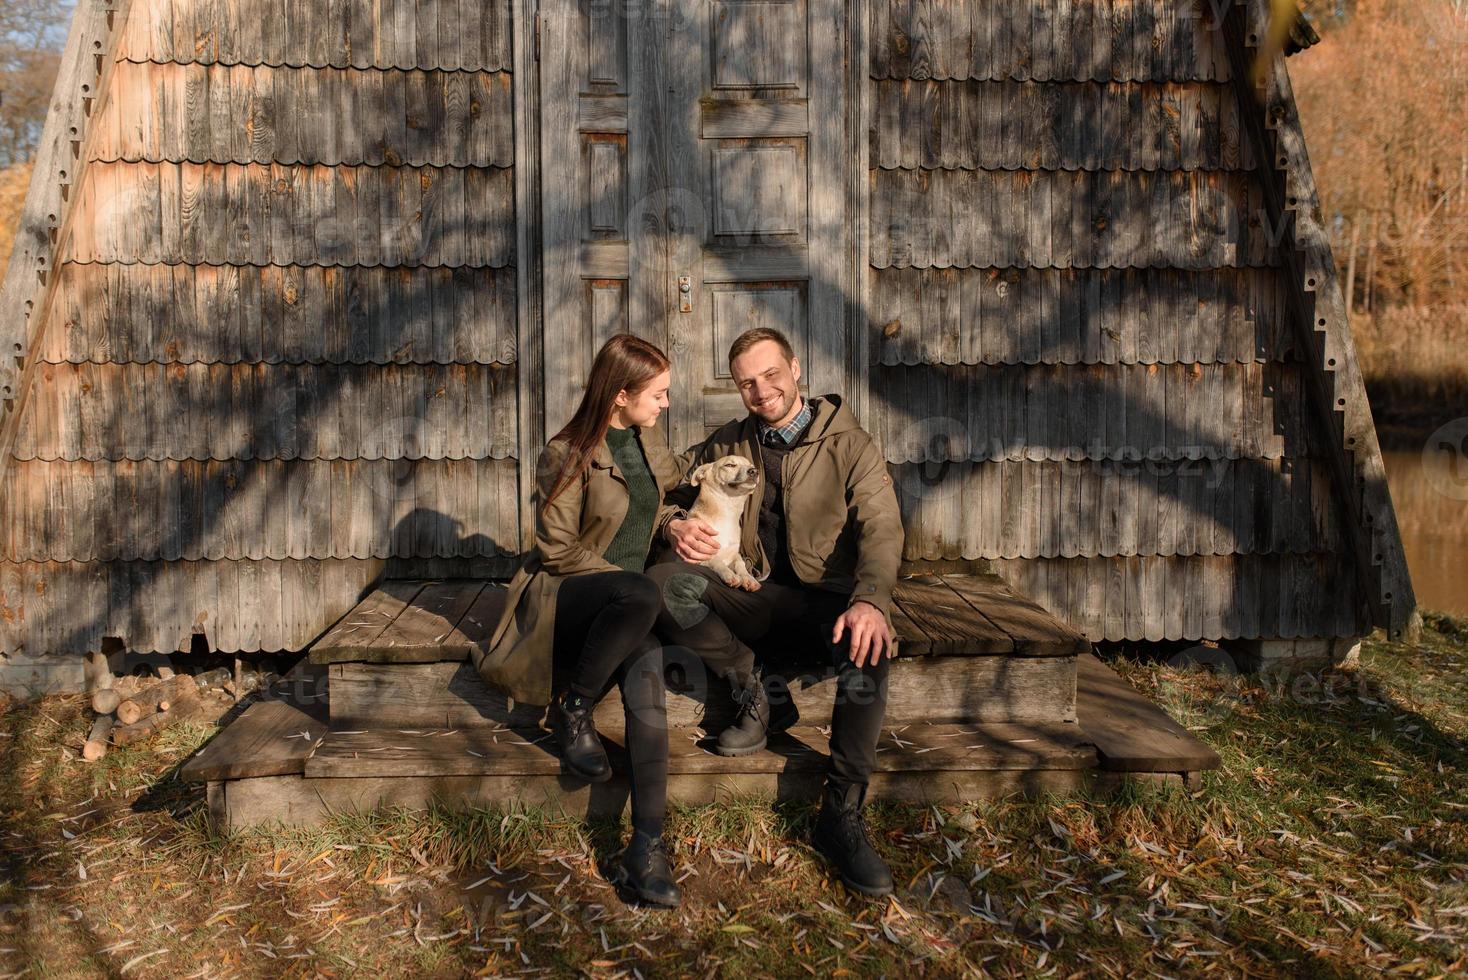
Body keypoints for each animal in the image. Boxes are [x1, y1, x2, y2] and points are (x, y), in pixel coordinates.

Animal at [684, 454, 763, 589]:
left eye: (751, 466)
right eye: (730, 465)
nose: (754, 471)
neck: (728, 512)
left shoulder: (734, 554)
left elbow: (740, 563)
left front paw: (748, 577)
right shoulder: (700, 554)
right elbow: (717, 560)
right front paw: (729, 574)